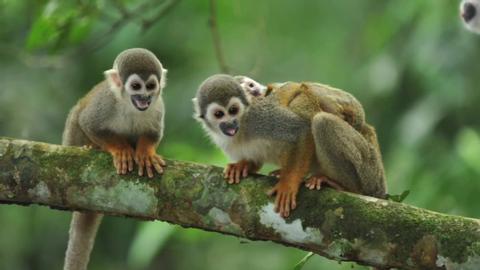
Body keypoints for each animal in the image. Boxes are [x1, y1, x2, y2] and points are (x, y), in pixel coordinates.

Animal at [62, 48, 167, 270]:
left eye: (151, 86)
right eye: (136, 86)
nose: (145, 97)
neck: (129, 104)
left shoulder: (158, 106)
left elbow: (153, 133)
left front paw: (145, 152)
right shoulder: (106, 102)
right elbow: (89, 123)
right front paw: (120, 149)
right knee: (77, 115)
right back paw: (90, 147)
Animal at [193, 74, 384, 217]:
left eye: (233, 110)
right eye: (219, 114)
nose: (230, 124)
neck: (242, 129)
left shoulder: (259, 116)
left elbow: (301, 129)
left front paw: (288, 184)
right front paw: (243, 166)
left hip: (368, 168)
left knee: (321, 119)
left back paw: (343, 186)